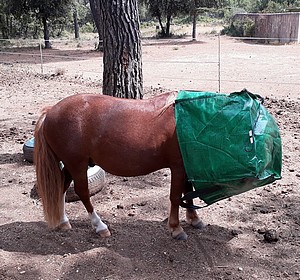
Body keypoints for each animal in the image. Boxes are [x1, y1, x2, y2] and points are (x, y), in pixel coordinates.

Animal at [34, 92, 204, 241]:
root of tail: (50, 111)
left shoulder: (187, 164)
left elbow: (188, 190)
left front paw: (194, 219)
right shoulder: (178, 166)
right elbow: (175, 197)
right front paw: (176, 229)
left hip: (72, 165)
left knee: (61, 187)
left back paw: (64, 221)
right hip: (77, 164)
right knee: (82, 192)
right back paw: (100, 226)